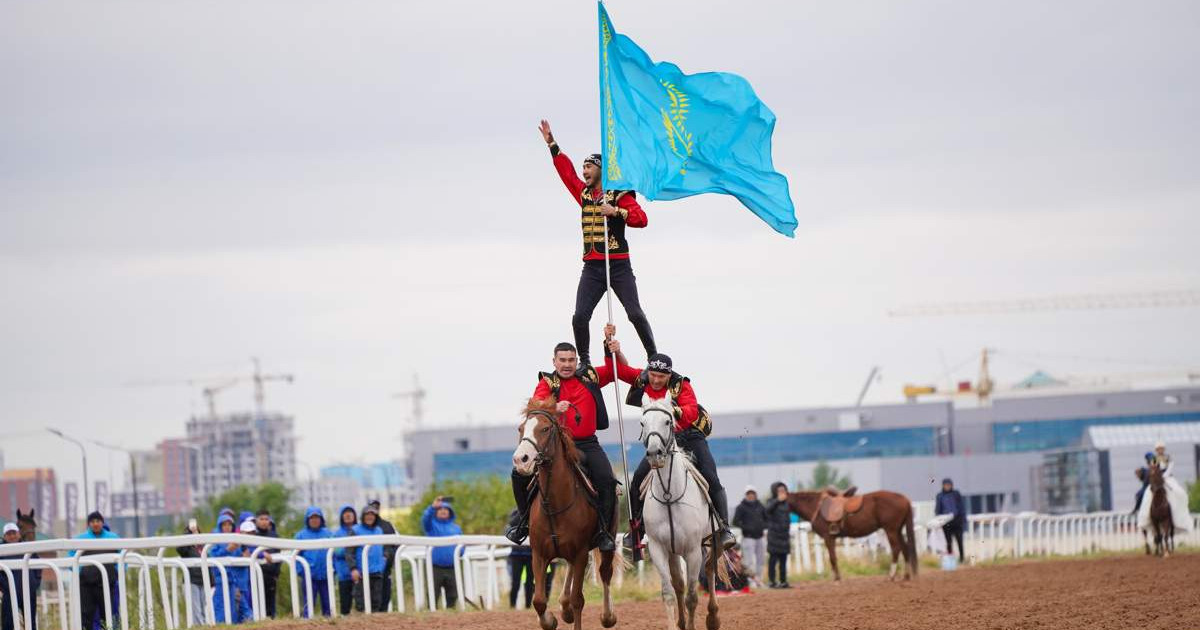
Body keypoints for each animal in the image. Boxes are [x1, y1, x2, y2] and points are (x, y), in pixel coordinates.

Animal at [511, 398, 619, 628]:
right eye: (521, 428)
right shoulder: (539, 554)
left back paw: (607, 616)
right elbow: (539, 600)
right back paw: (564, 606)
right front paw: (550, 620)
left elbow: (579, 600)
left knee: (605, 573)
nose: (521, 460)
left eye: (544, 428)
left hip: (608, 540)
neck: (554, 505)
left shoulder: (580, 554)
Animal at [638, 396, 720, 628]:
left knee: (709, 570)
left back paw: (713, 618)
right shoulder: (658, 549)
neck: (669, 494)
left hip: (711, 542)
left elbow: (692, 597)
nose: (654, 454)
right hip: (674, 553)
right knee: (678, 584)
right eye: (642, 423)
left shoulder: (692, 551)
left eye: (668, 421)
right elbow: (669, 593)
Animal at [787, 487, 916, 580]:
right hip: (898, 530)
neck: (816, 507)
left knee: (896, 549)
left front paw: (837, 578)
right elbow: (833, 557)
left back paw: (891, 575)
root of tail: (904, 499)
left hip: (891, 530)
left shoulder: (828, 537)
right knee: (905, 548)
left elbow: (832, 558)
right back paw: (906, 576)